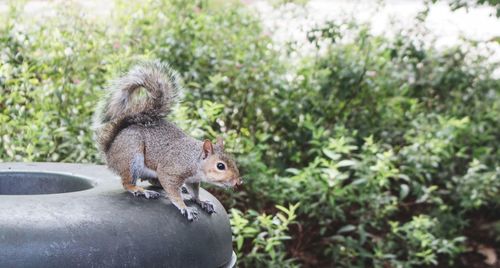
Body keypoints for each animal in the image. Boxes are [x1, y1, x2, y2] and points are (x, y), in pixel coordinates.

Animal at [94, 61, 242, 221]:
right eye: (220, 166)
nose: (238, 181)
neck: (194, 159)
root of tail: (110, 151)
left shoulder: (193, 180)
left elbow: (194, 192)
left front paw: (201, 201)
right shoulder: (171, 170)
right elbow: (172, 191)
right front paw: (185, 207)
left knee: (153, 181)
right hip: (131, 157)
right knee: (127, 183)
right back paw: (141, 190)